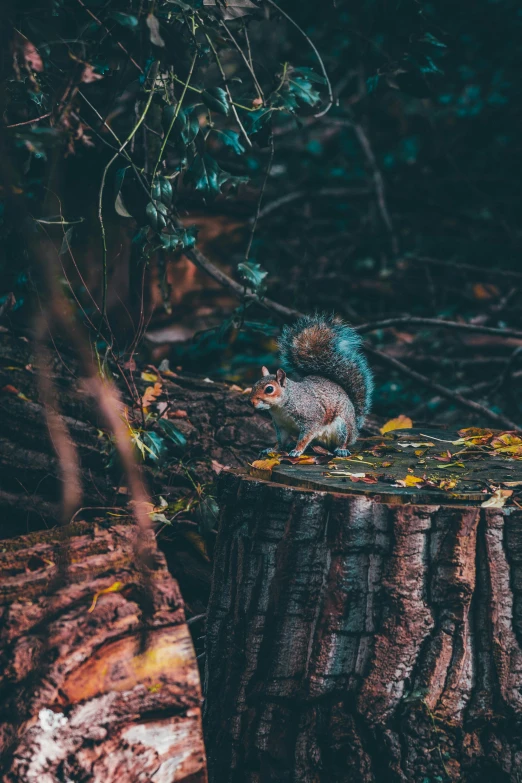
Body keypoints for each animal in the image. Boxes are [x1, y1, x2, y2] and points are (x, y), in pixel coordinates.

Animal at [248, 314, 370, 460]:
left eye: (269, 389)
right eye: (254, 385)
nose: (250, 402)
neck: (280, 408)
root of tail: (355, 428)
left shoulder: (311, 417)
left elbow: (305, 437)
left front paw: (297, 450)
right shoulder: (281, 425)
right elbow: (280, 440)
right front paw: (272, 449)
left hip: (342, 426)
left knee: (344, 439)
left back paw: (341, 449)